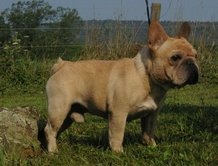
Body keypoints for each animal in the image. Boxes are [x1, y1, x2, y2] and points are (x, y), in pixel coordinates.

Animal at [44, 21, 199, 153]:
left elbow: (148, 132)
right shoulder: (119, 113)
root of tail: (61, 65)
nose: (192, 63)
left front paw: (152, 147)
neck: (145, 77)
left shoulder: (152, 114)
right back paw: (53, 151)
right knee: (50, 129)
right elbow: (117, 135)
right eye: (175, 57)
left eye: (196, 56)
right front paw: (118, 153)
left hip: (67, 115)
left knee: (56, 130)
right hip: (59, 109)